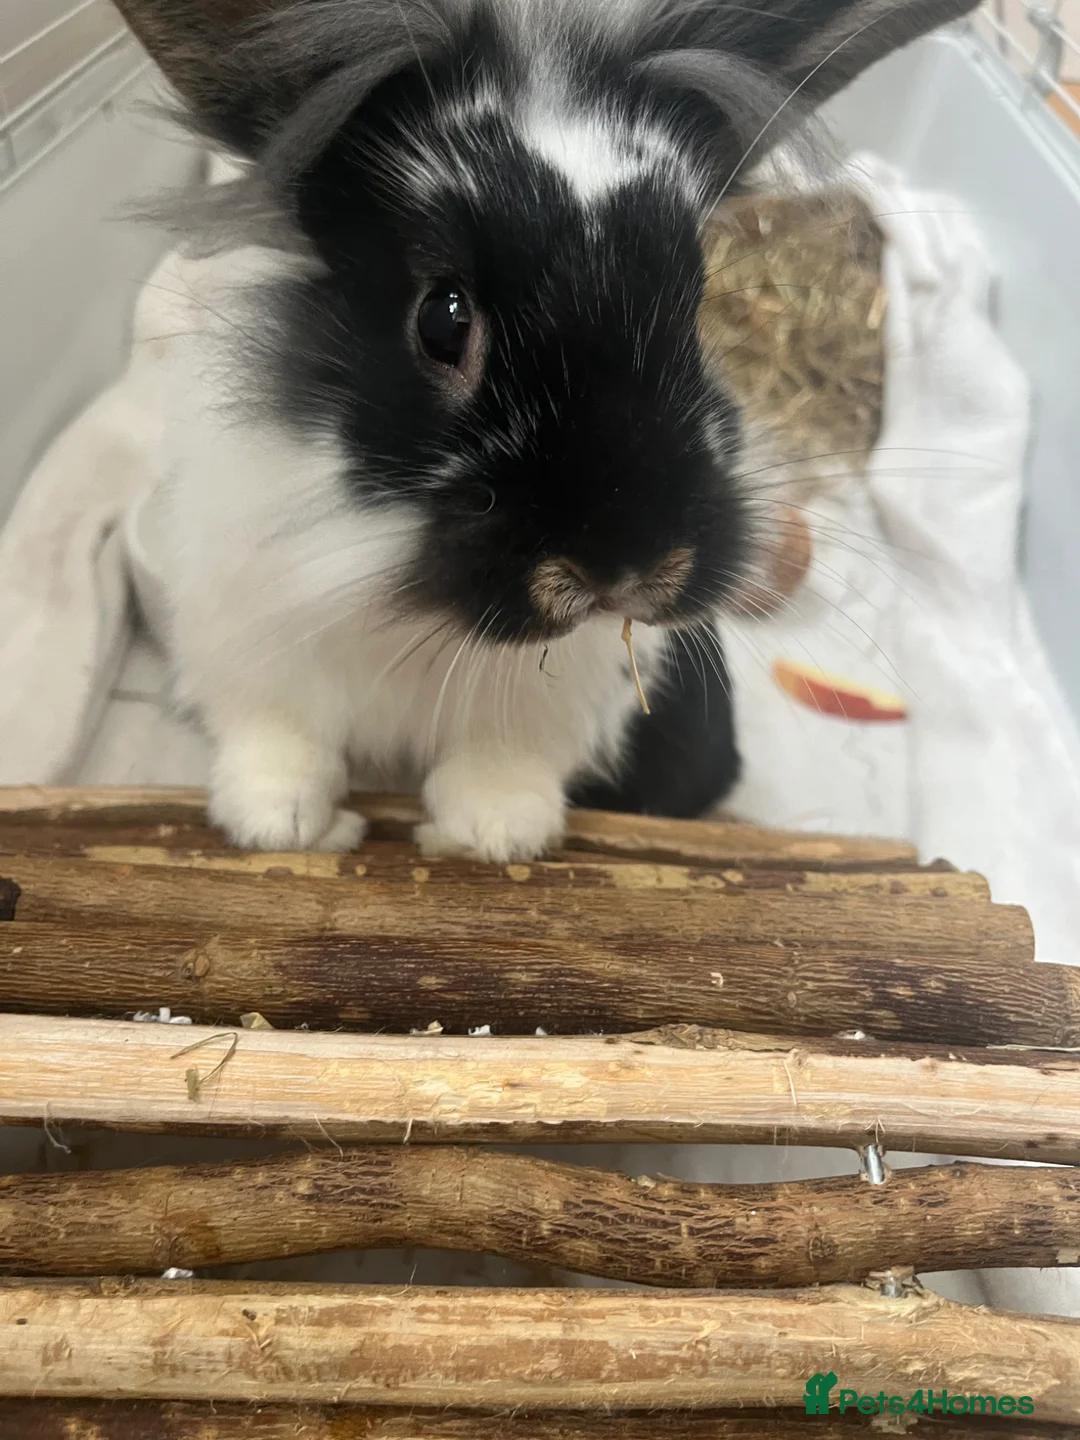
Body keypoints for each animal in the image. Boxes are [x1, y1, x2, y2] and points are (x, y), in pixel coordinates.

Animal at [123, 0, 979, 859]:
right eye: (442, 318)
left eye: (697, 303)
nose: (626, 566)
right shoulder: (249, 625)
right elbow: (280, 734)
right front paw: (277, 823)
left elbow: (505, 755)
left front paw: (494, 832)